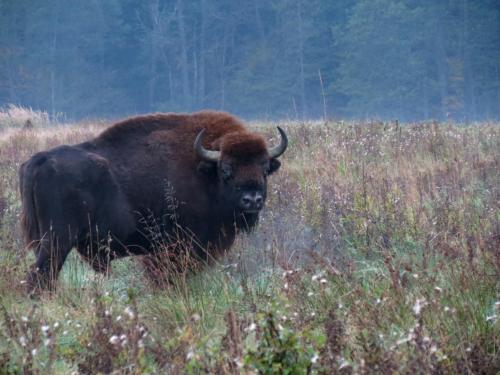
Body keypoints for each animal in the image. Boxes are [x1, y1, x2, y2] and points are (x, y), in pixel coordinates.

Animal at [19, 111, 288, 294]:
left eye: (265, 168)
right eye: (226, 170)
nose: (252, 199)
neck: (203, 171)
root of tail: (40, 160)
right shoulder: (174, 247)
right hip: (57, 241)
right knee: (40, 275)